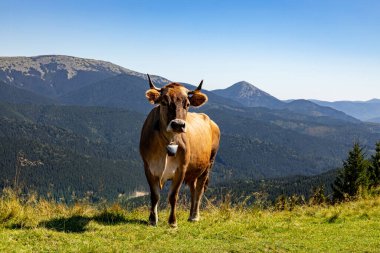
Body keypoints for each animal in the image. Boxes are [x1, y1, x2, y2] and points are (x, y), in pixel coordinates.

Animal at [140, 75, 220, 227]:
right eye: (164, 102)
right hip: (194, 170)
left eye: (187, 104)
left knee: (199, 190)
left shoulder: (181, 169)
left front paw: (172, 222)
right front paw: (152, 219)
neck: (168, 142)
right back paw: (190, 215)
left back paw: (195, 216)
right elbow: (155, 195)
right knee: (193, 189)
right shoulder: (148, 167)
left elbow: (173, 196)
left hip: (208, 165)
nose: (178, 124)